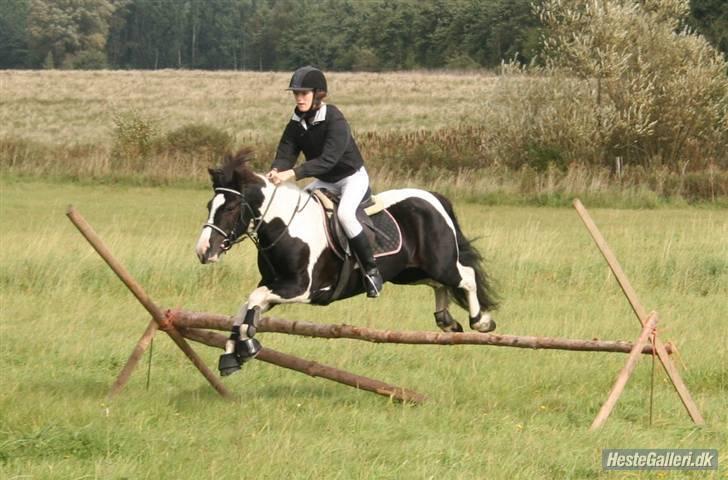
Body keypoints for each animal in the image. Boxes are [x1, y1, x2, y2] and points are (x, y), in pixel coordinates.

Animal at [195, 149, 500, 376]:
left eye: (231, 208)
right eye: (209, 205)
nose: (203, 251)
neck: (287, 227)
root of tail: (432, 198)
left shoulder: (301, 289)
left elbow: (253, 301)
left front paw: (247, 345)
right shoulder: (275, 285)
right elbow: (244, 310)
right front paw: (232, 355)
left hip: (440, 262)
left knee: (466, 277)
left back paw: (481, 321)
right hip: (410, 272)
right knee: (439, 284)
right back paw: (446, 321)